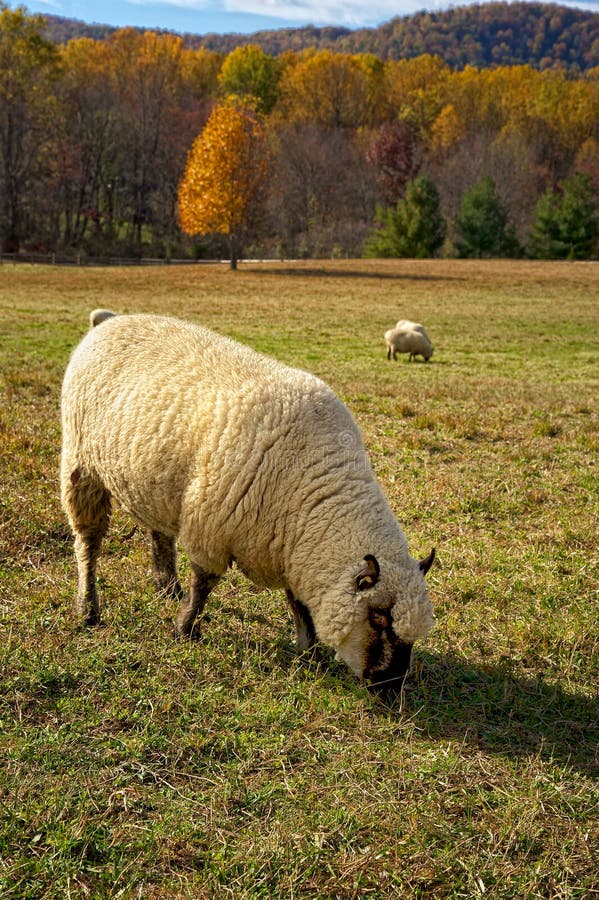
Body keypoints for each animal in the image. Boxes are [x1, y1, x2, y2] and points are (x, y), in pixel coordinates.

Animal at [61, 312, 436, 693]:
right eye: (378, 618)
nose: (390, 686)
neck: (315, 490)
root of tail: (112, 319)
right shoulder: (211, 525)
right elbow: (203, 585)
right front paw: (185, 629)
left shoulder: (291, 550)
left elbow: (299, 605)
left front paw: (309, 652)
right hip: (82, 466)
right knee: (88, 545)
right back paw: (89, 609)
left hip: (154, 483)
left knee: (159, 534)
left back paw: (166, 587)